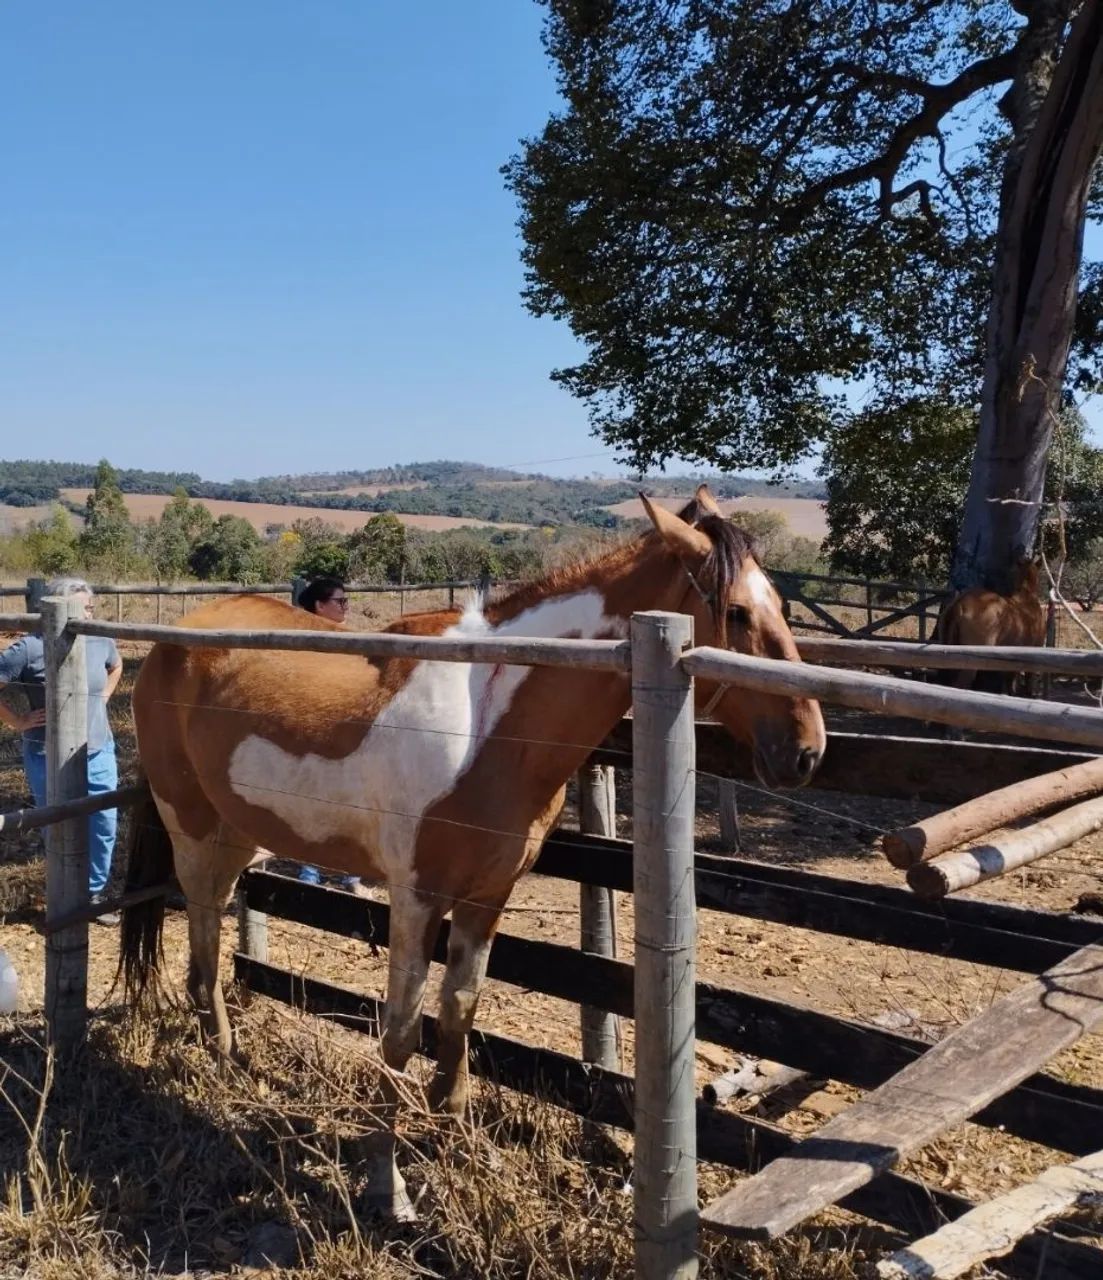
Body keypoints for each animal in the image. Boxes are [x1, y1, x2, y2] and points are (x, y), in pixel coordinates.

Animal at [118, 485, 825, 1217]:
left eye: (780, 602)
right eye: (735, 612)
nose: (807, 749)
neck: (488, 720)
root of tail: (177, 640)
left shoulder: (488, 896)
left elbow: (461, 1009)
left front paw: (457, 1137)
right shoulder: (417, 897)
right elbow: (401, 1030)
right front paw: (388, 1183)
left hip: (238, 834)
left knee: (209, 938)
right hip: (192, 829)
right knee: (202, 944)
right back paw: (219, 1062)